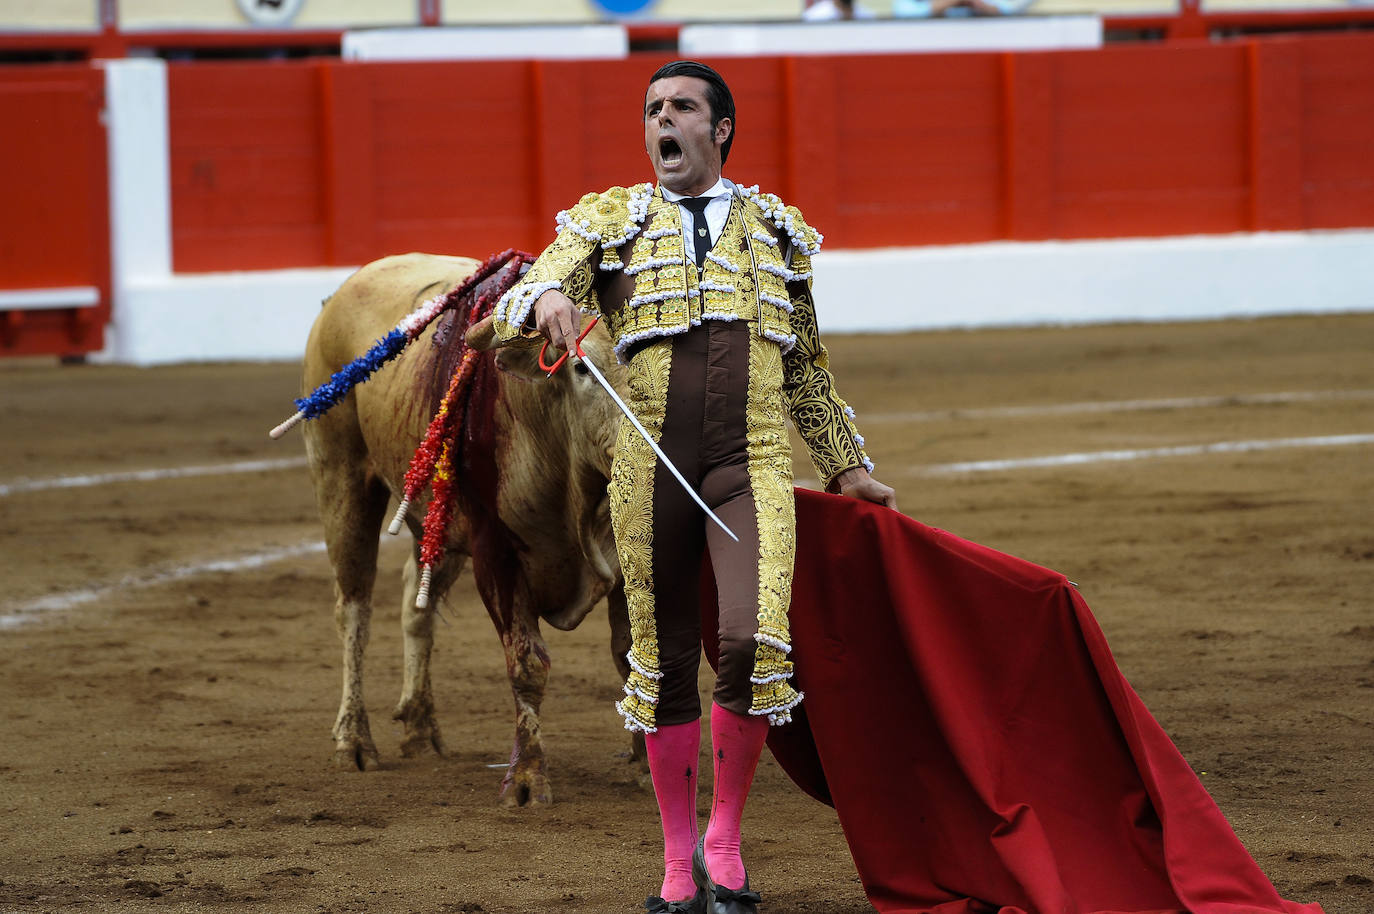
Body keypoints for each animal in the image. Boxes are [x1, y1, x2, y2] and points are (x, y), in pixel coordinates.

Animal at [303, 251, 629, 808]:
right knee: (354, 609)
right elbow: (527, 663)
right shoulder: (494, 551)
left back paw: (419, 727)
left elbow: (632, 655)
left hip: (435, 519)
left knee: (416, 601)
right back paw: (354, 741)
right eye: (582, 367)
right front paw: (526, 782)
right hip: (340, 476)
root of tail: (348, 287)